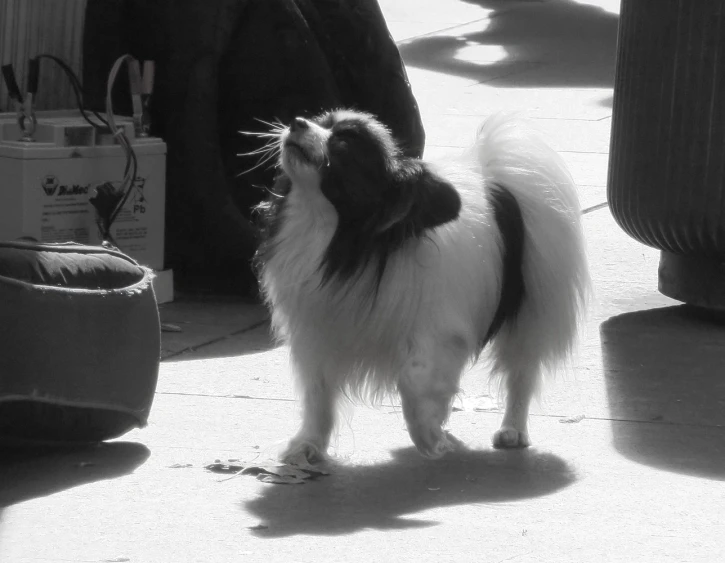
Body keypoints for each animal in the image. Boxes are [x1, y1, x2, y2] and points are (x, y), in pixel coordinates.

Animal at [255, 109, 588, 462]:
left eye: (344, 143)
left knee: (521, 375)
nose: (297, 122)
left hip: (530, 319)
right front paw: (308, 444)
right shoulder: (317, 338)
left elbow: (414, 381)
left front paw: (430, 436)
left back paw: (512, 430)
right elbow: (318, 396)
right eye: (321, 121)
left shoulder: (437, 333)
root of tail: (497, 180)